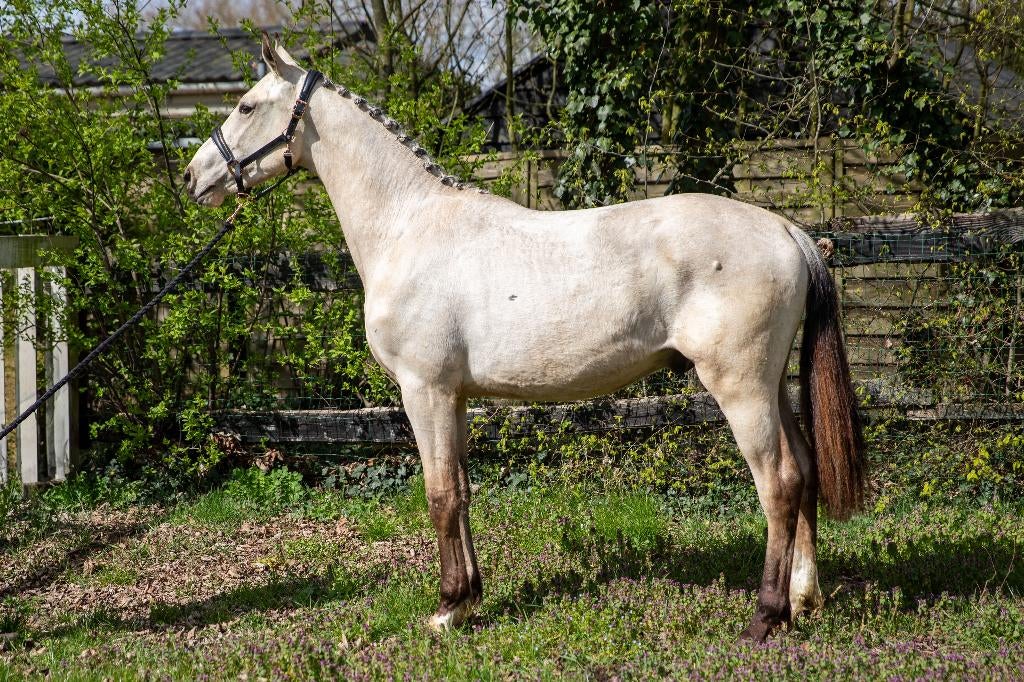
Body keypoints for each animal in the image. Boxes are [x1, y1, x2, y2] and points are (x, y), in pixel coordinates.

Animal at [184, 35, 865, 642]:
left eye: (246, 106)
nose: (193, 178)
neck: (409, 225)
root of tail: (786, 230)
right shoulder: (454, 396)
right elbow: (461, 491)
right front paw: (469, 600)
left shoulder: (424, 391)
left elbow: (438, 495)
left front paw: (446, 611)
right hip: (772, 386)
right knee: (804, 469)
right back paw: (803, 600)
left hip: (741, 388)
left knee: (778, 483)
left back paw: (765, 617)